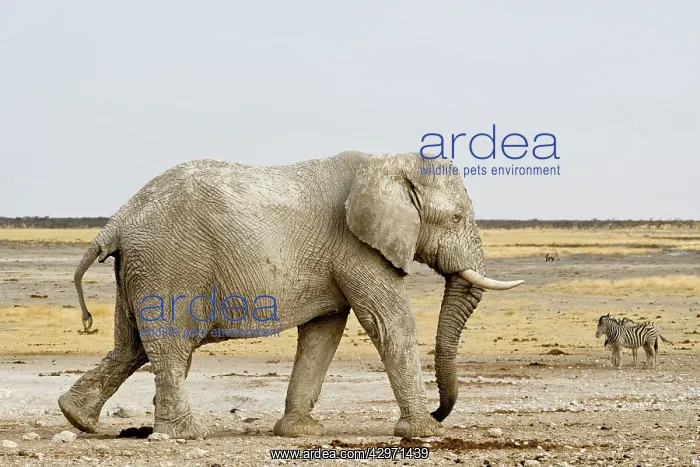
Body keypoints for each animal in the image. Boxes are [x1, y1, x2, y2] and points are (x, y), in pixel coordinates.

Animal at [58, 151, 523, 439]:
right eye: (457, 217)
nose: (441, 411)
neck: (387, 163)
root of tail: (118, 220)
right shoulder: (356, 246)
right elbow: (390, 323)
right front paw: (425, 432)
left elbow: (323, 334)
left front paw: (300, 432)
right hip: (168, 264)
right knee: (169, 346)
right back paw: (186, 434)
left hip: (140, 267)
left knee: (131, 346)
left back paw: (77, 418)